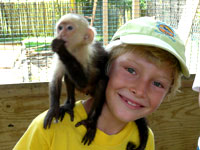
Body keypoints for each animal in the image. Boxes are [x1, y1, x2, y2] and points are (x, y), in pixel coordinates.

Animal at [43, 13, 148, 150]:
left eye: (69, 28)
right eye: (60, 27)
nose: (61, 33)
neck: (75, 50)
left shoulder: (86, 54)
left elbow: (83, 81)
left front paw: (61, 48)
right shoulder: (60, 58)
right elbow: (55, 79)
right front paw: (53, 109)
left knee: (101, 82)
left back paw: (91, 121)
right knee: (68, 75)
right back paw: (69, 105)